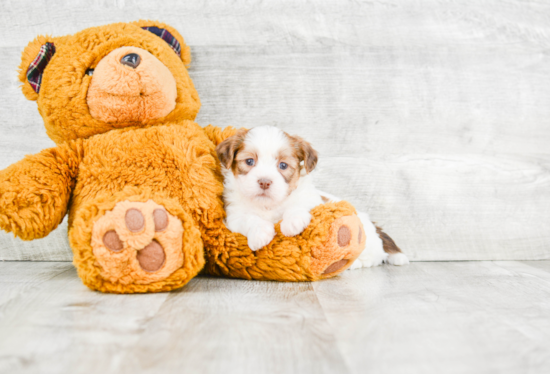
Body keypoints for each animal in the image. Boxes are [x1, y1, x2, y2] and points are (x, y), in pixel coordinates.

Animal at [216, 127, 410, 268]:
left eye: (283, 165)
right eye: (249, 162)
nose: (264, 182)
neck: (268, 205)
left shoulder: (311, 200)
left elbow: (298, 206)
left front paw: (292, 222)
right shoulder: (234, 215)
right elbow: (250, 219)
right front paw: (260, 234)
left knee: (374, 256)